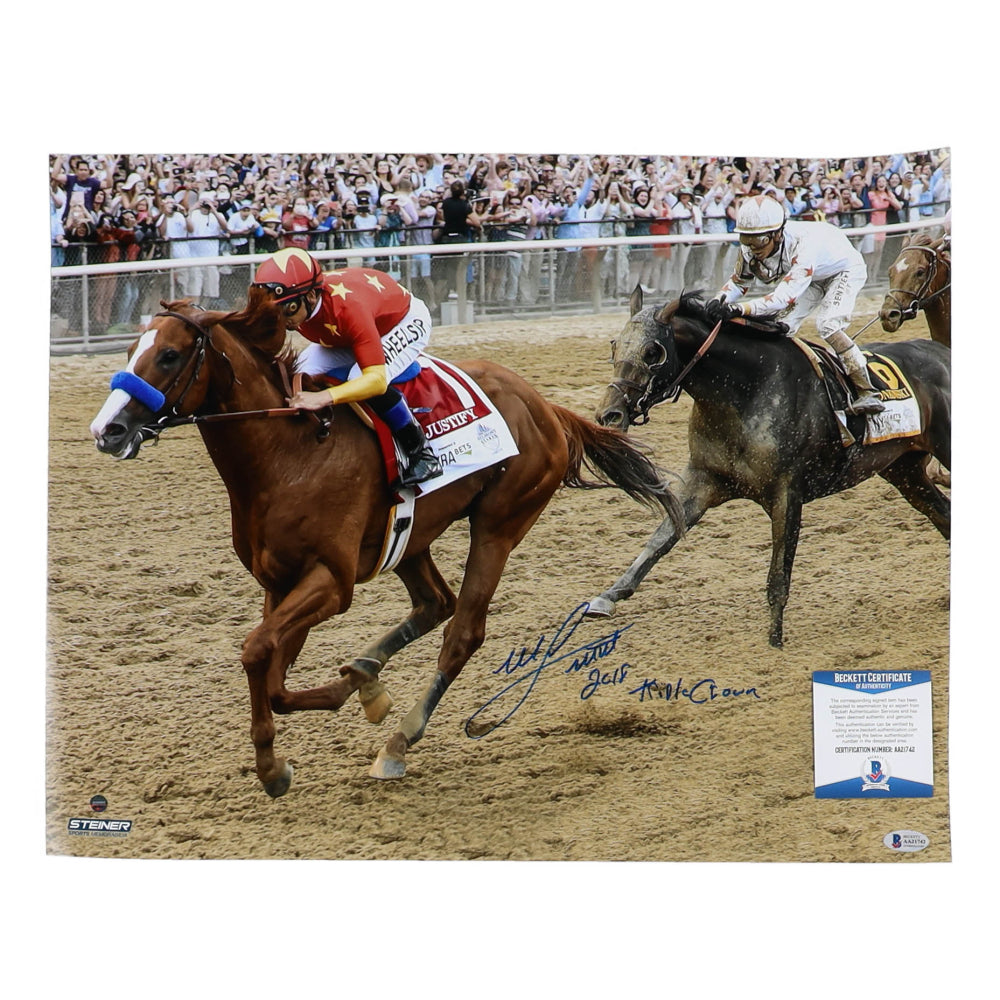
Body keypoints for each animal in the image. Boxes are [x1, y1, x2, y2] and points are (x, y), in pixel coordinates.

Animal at [90, 292, 684, 796]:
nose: (107, 430)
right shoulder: (278, 583)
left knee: (463, 631)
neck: (288, 453)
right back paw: (367, 674)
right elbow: (273, 674)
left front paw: (275, 765)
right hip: (411, 537)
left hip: (500, 523)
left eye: (169, 356)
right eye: (130, 350)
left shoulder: (331, 582)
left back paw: (398, 742)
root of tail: (546, 406)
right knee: (435, 603)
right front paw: (344, 703)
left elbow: (257, 651)